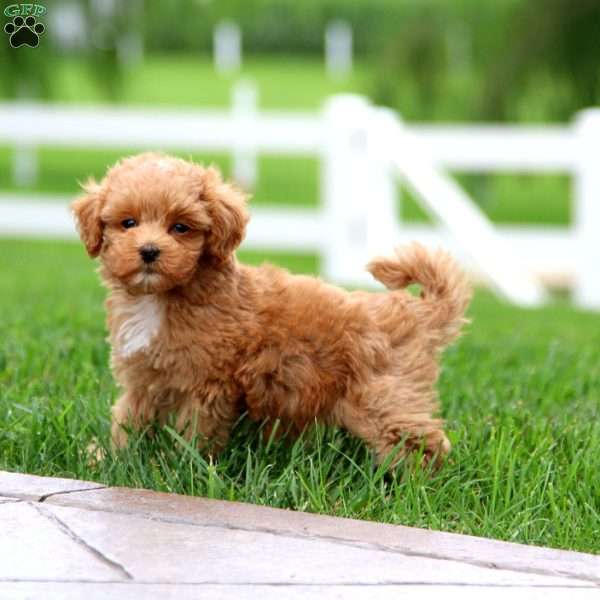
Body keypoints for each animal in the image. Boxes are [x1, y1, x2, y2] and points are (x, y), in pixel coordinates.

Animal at [72, 152, 472, 466]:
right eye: (128, 223)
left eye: (180, 228)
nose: (149, 251)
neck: (160, 298)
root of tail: (417, 311)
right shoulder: (143, 377)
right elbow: (129, 417)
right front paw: (112, 457)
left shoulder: (207, 384)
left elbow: (195, 431)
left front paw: (178, 467)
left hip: (383, 395)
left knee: (423, 442)